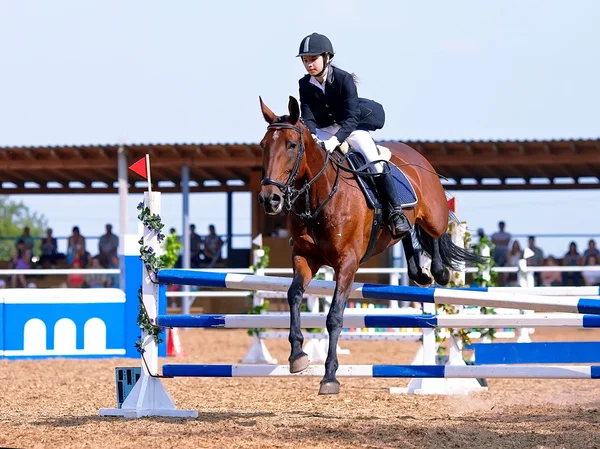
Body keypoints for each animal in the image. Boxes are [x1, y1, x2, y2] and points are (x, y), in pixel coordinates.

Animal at [255, 94, 486, 392]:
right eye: (263, 145)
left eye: (292, 145)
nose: (269, 199)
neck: (319, 196)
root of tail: (415, 155)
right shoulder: (305, 257)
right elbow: (294, 295)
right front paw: (297, 355)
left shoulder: (347, 264)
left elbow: (334, 316)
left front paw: (330, 376)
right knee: (406, 232)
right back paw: (419, 272)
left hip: (434, 213)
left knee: (436, 232)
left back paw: (438, 271)